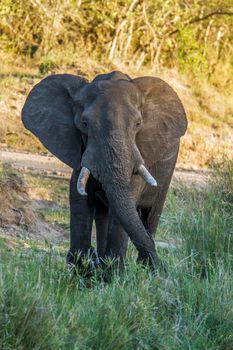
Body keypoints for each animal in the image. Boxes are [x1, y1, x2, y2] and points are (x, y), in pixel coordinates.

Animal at [20, 70, 187, 270]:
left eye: (138, 124)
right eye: (84, 124)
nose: (164, 268)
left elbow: (124, 204)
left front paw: (112, 273)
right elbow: (79, 198)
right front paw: (82, 267)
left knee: (152, 214)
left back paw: (145, 268)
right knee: (103, 216)